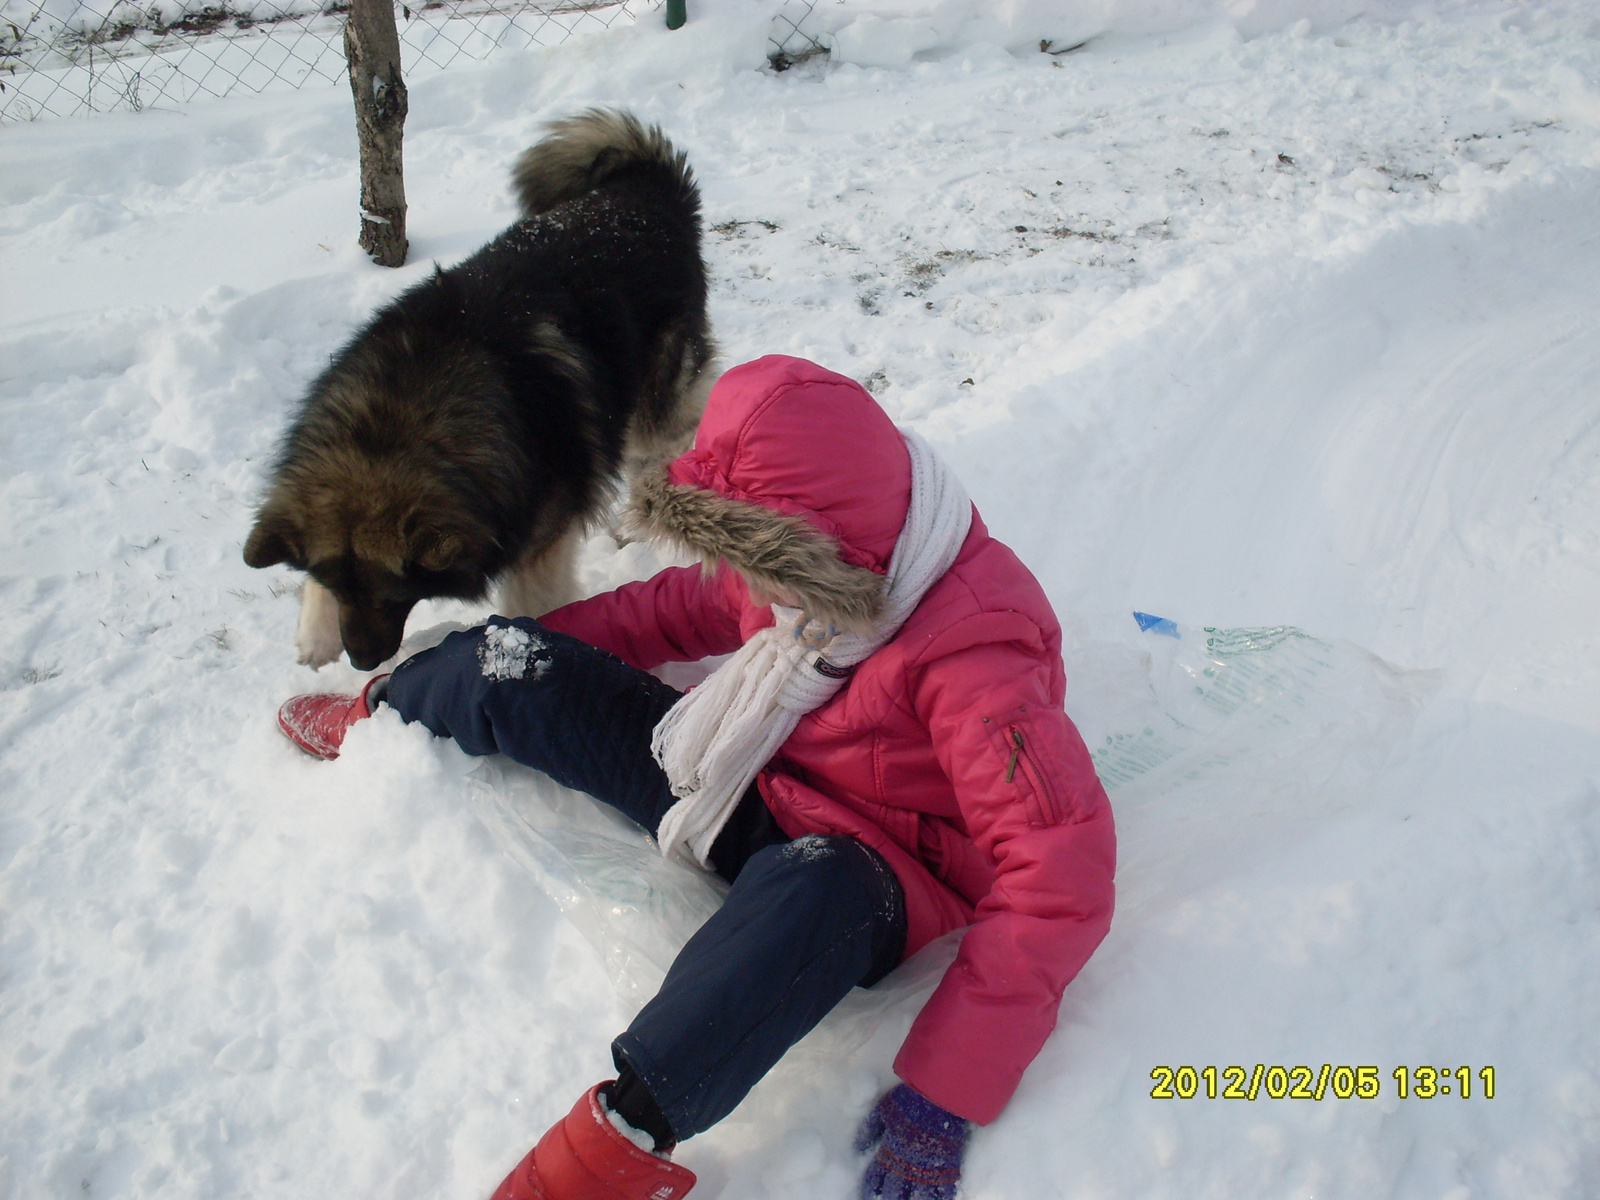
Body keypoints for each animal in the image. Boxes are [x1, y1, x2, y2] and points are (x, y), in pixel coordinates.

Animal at [241, 110, 713, 678]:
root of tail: (646, 188)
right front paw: (315, 636)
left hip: (654, 406)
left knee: (673, 435)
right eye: (339, 587)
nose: (361, 661)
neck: (397, 425)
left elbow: (532, 605)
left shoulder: (538, 545)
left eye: (395, 592)